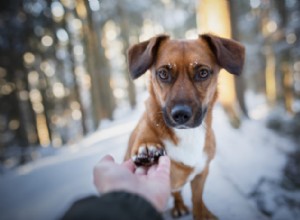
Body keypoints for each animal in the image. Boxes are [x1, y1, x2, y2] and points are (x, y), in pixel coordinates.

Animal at [124, 33, 244, 219]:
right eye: (163, 73)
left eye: (203, 73)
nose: (180, 114)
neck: (188, 135)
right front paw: (148, 147)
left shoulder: (201, 174)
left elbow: (198, 201)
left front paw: (202, 213)